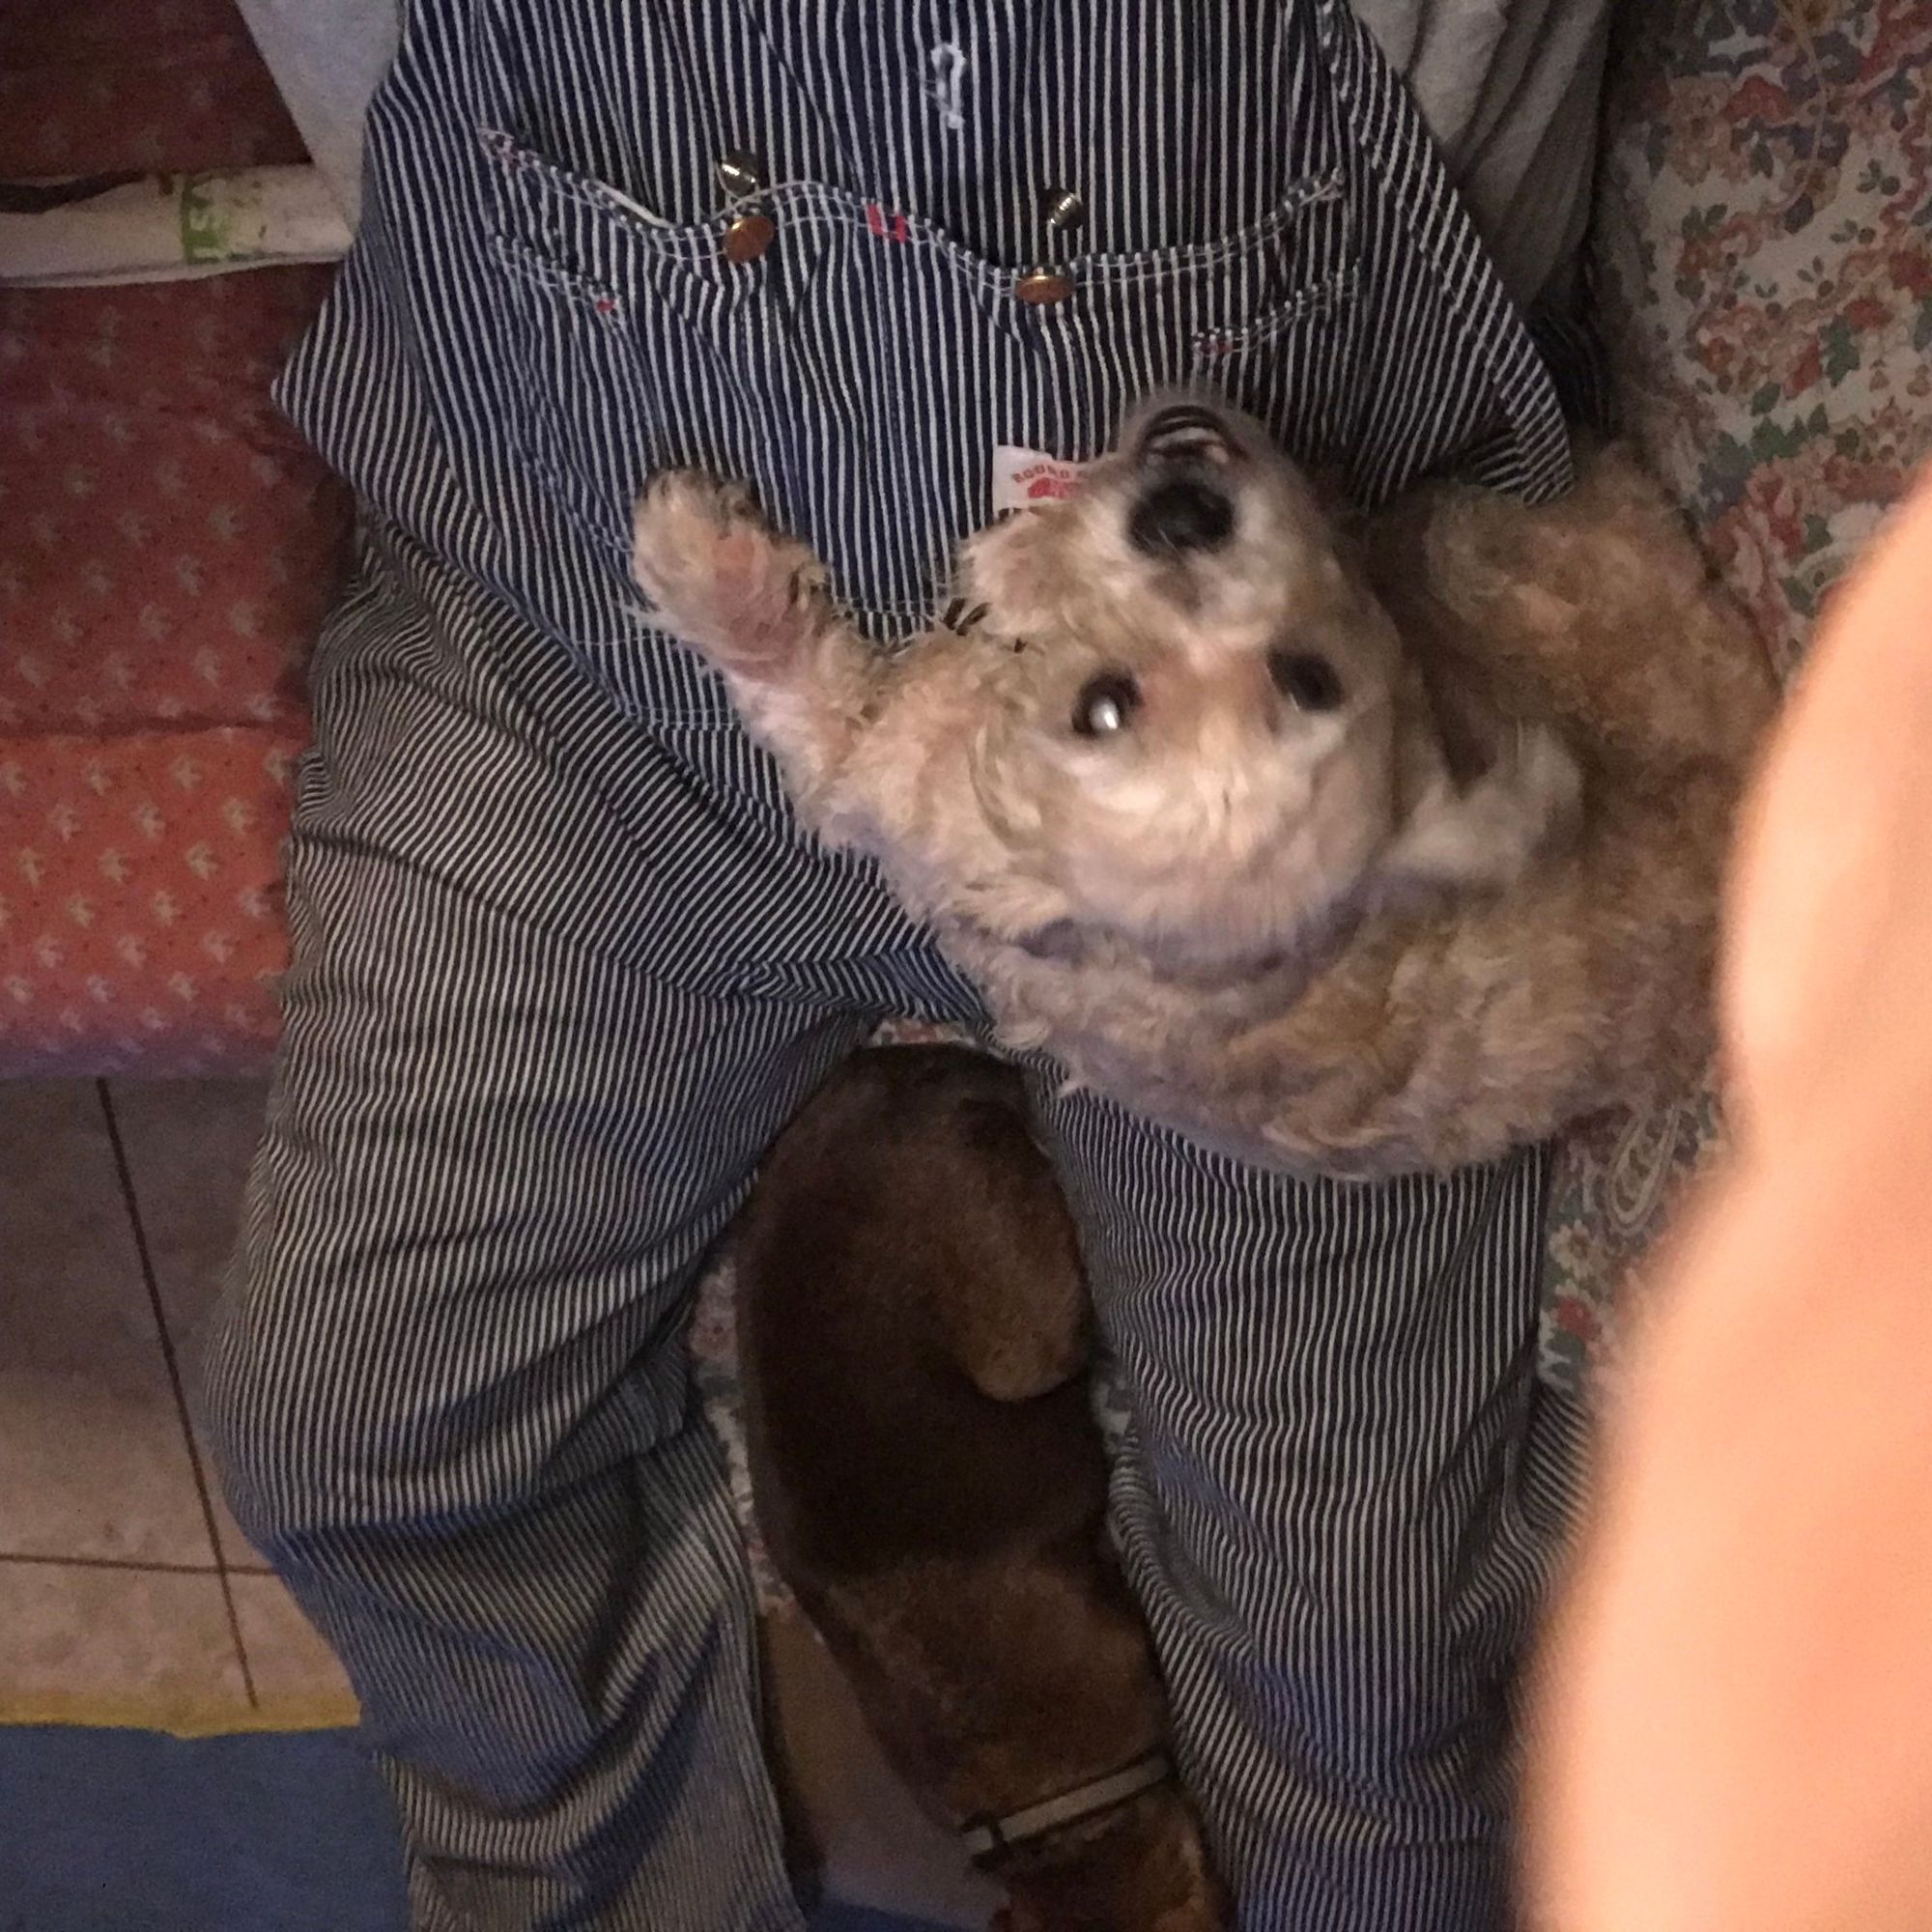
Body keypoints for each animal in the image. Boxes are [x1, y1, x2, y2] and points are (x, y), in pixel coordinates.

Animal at [633, 398, 1777, 1178]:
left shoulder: (892, 783)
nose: (1184, 513)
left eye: (1100, 710)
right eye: (1308, 677)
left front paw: (705, 563)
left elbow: (805, 699)